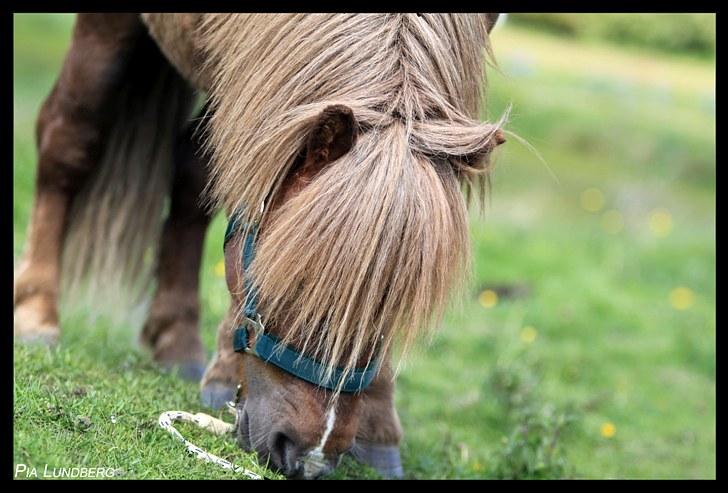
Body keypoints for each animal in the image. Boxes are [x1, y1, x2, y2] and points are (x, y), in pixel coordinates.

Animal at [15, 14, 506, 476]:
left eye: (402, 302)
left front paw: (380, 429)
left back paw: (177, 341)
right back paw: (39, 312)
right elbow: (75, 138)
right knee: (68, 132)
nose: (310, 458)